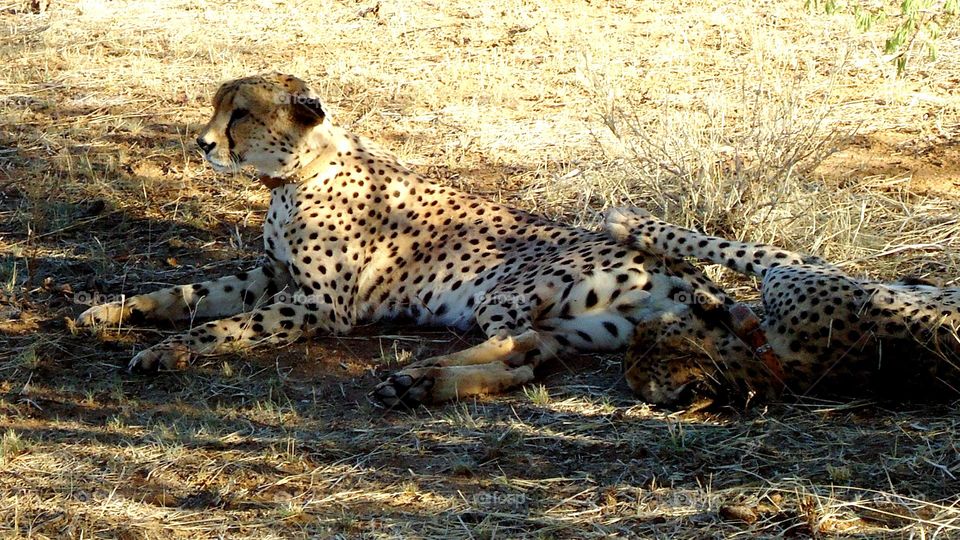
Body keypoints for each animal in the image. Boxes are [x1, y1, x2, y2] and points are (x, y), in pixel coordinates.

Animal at [76, 73, 734, 408]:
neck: (300, 172)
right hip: (583, 325)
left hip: (509, 289)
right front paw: (112, 312)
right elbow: (185, 294)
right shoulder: (269, 275)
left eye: (239, 113)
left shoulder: (321, 306)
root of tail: (687, 272)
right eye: (218, 108)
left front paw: (169, 351)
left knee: (517, 342)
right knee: (531, 359)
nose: (203, 143)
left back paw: (418, 374)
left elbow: (225, 326)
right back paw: (423, 384)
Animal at [605, 207, 960, 406]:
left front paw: (633, 224)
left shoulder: (792, 267)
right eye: (633, 341)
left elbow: (734, 248)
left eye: (642, 330)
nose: (623, 359)